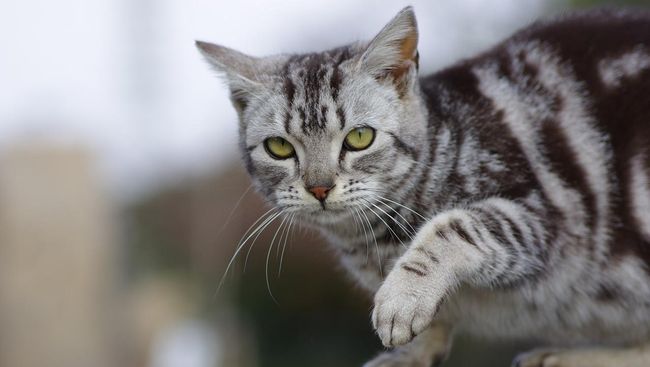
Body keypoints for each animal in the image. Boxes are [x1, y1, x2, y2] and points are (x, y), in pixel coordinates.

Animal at [196, 6, 648, 367]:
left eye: (359, 138)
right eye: (279, 148)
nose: (320, 188)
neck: (373, 243)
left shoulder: (548, 217)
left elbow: (453, 226)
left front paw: (402, 299)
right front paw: (410, 349)